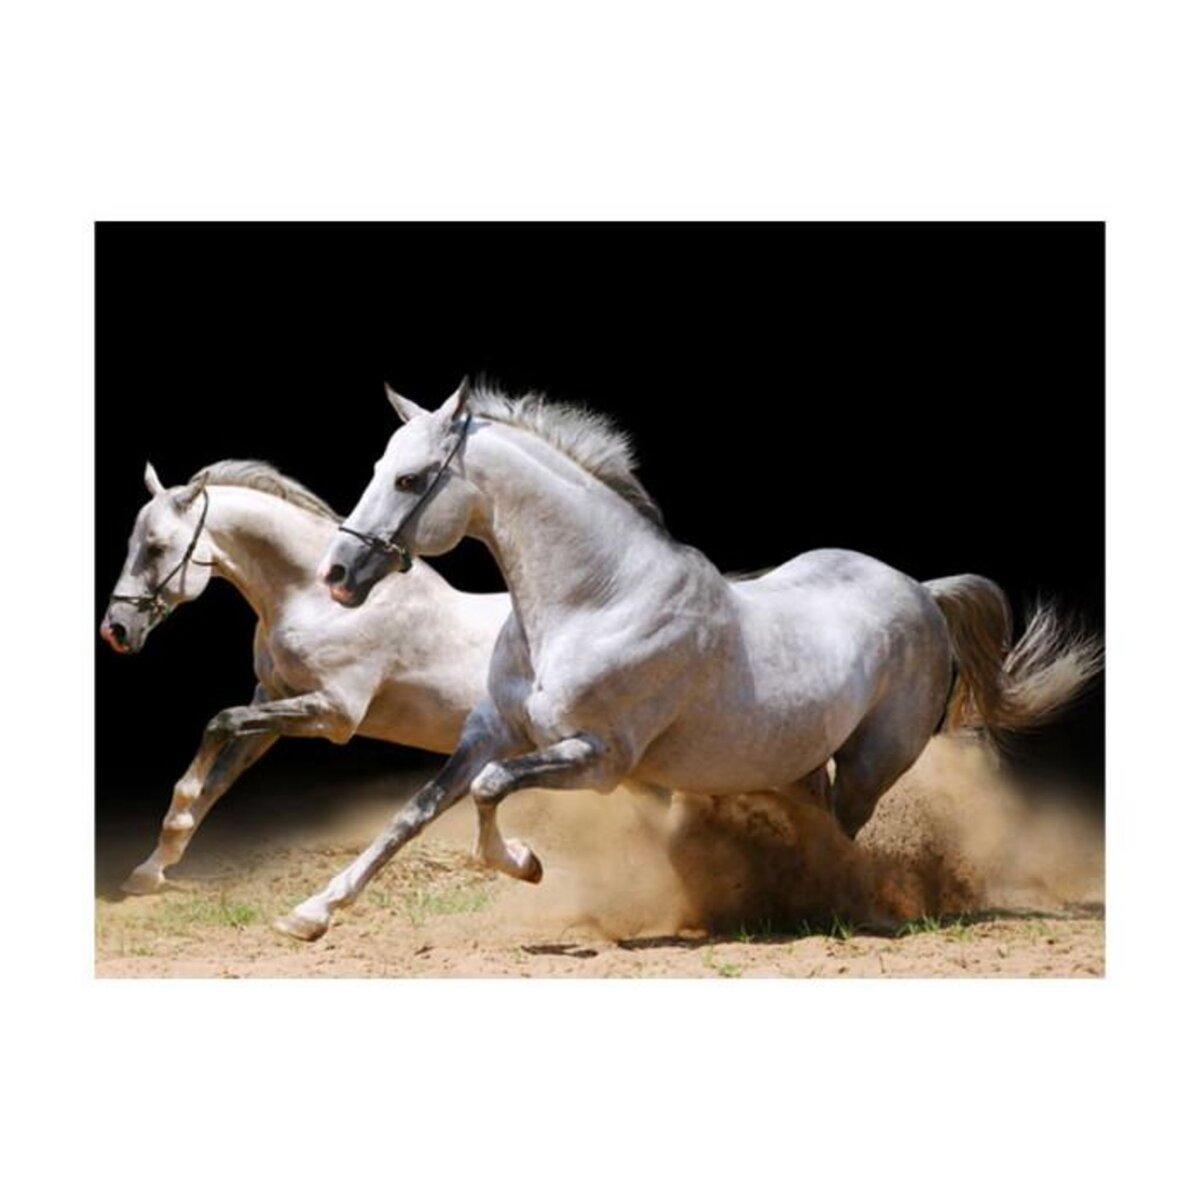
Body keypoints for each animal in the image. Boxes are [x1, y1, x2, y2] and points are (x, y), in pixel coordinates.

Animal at [100, 458, 509, 894]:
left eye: (157, 547)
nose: (115, 630)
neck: (318, 602)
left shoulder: (335, 714)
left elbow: (220, 723)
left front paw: (175, 819)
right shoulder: (272, 699)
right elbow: (220, 777)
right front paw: (151, 869)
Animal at [275, 380, 1102, 941]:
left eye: (411, 479)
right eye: (379, 465)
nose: (338, 575)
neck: (595, 598)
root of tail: (922, 592)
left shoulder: (599, 758)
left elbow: (488, 791)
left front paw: (527, 863)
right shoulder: (491, 732)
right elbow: (414, 813)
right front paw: (310, 913)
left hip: (873, 763)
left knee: (844, 833)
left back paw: (836, 906)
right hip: (798, 760)